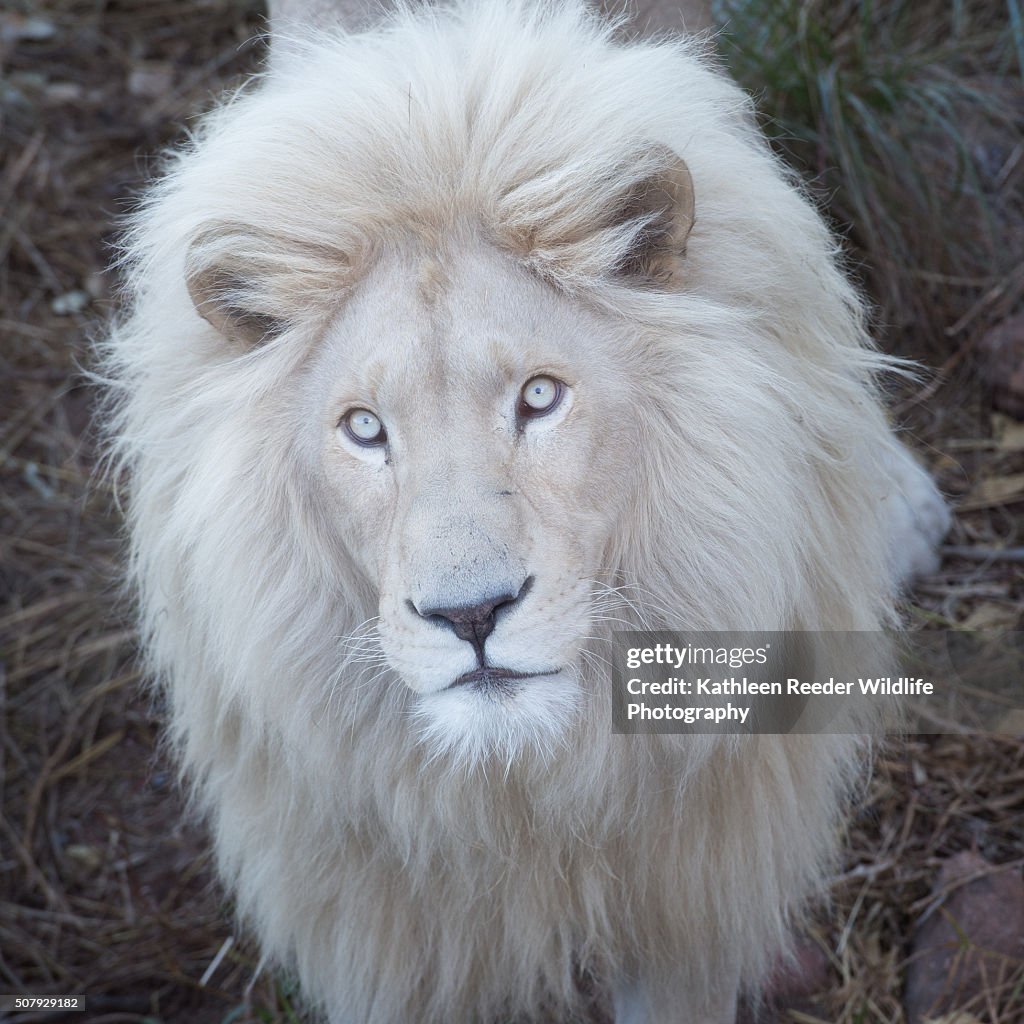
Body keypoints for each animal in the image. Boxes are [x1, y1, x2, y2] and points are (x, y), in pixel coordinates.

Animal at [99, 4, 946, 1019]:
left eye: (540, 398)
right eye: (364, 428)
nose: (471, 617)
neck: (520, 798)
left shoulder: (688, 908)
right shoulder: (388, 937)